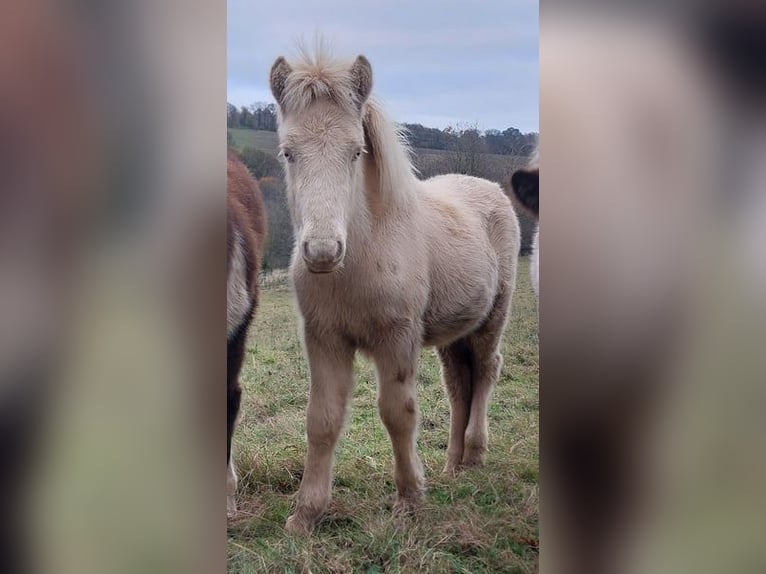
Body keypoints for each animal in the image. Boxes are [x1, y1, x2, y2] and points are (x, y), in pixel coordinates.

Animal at [268, 48, 520, 536]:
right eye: (288, 153)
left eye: (355, 152)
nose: (323, 252)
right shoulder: (324, 338)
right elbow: (322, 420)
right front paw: (305, 514)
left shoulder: (398, 338)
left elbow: (398, 413)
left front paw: (409, 501)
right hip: (453, 331)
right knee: (459, 382)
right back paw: (452, 465)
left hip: (493, 316)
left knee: (486, 370)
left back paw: (475, 454)